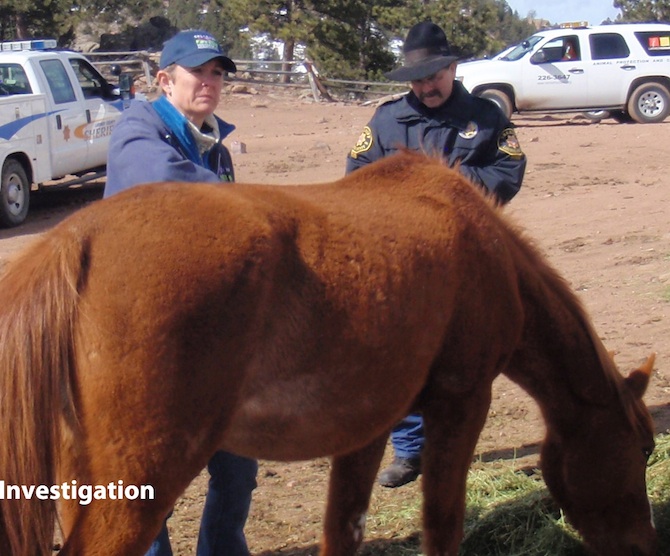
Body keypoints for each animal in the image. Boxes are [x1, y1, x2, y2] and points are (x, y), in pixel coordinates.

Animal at [0, 151, 660, 556]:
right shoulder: (463, 402)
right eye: (643, 449)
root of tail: (76, 237)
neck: (483, 244)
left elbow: (344, 528)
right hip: (141, 481)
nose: (646, 545)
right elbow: (442, 524)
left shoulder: (366, 425)